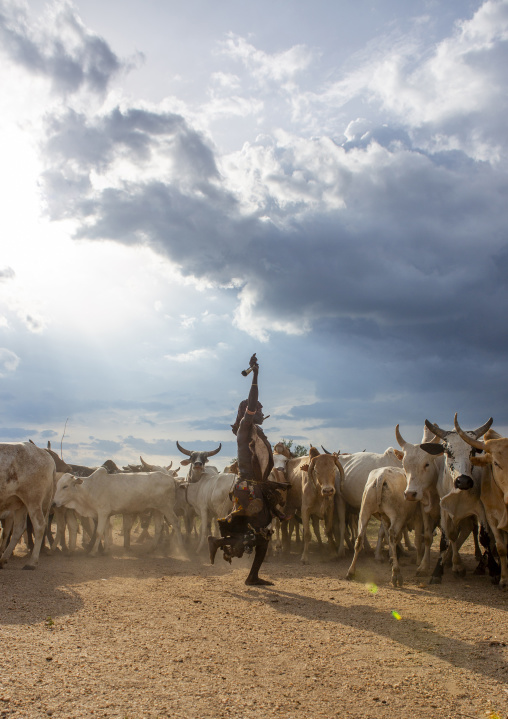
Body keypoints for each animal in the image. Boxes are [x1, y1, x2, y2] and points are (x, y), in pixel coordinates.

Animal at [53, 468, 186, 557]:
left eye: (65, 486)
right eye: (57, 485)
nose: (54, 503)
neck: (90, 488)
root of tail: (171, 478)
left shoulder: (102, 512)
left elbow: (98, 532)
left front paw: (93, 552)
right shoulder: (107, 514)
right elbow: (105, 531)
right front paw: (106, 550)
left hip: (166, 508)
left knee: (176, 523)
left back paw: (180, 548)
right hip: (157, 510)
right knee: (159, 527)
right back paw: (151, 549)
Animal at [420, 415, 493, 582]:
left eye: (472, 451)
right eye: (448, 451)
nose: (463, 481)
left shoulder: (481, 510)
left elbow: (485, 537)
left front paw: (495, 572)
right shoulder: (444, 510)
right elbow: (445, 539)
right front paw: (437, 573)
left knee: (477, 532)